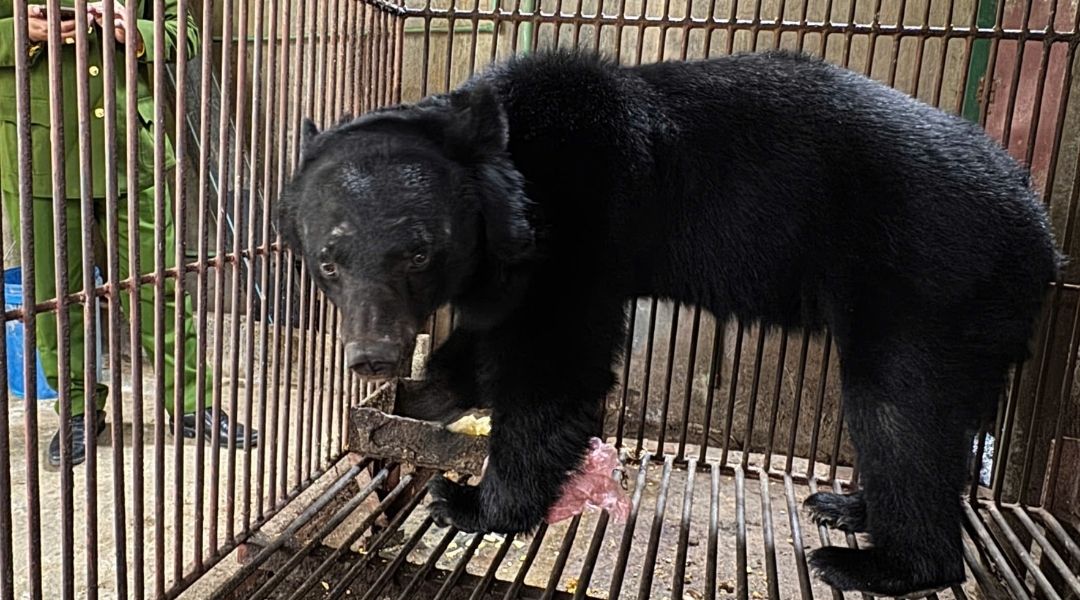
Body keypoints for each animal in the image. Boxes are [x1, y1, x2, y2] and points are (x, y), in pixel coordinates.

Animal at [275, 49, 1060, 597]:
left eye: (417, 251)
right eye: (328, 261)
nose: (372, 356)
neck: (513, 172)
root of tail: (1039, 225)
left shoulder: (580, 220)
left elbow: (554, 361)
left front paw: (468, 501)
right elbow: (495, 339)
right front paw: (419, 397)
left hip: (929, 283)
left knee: (900, 415)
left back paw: (876, 564)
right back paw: (850, 506)